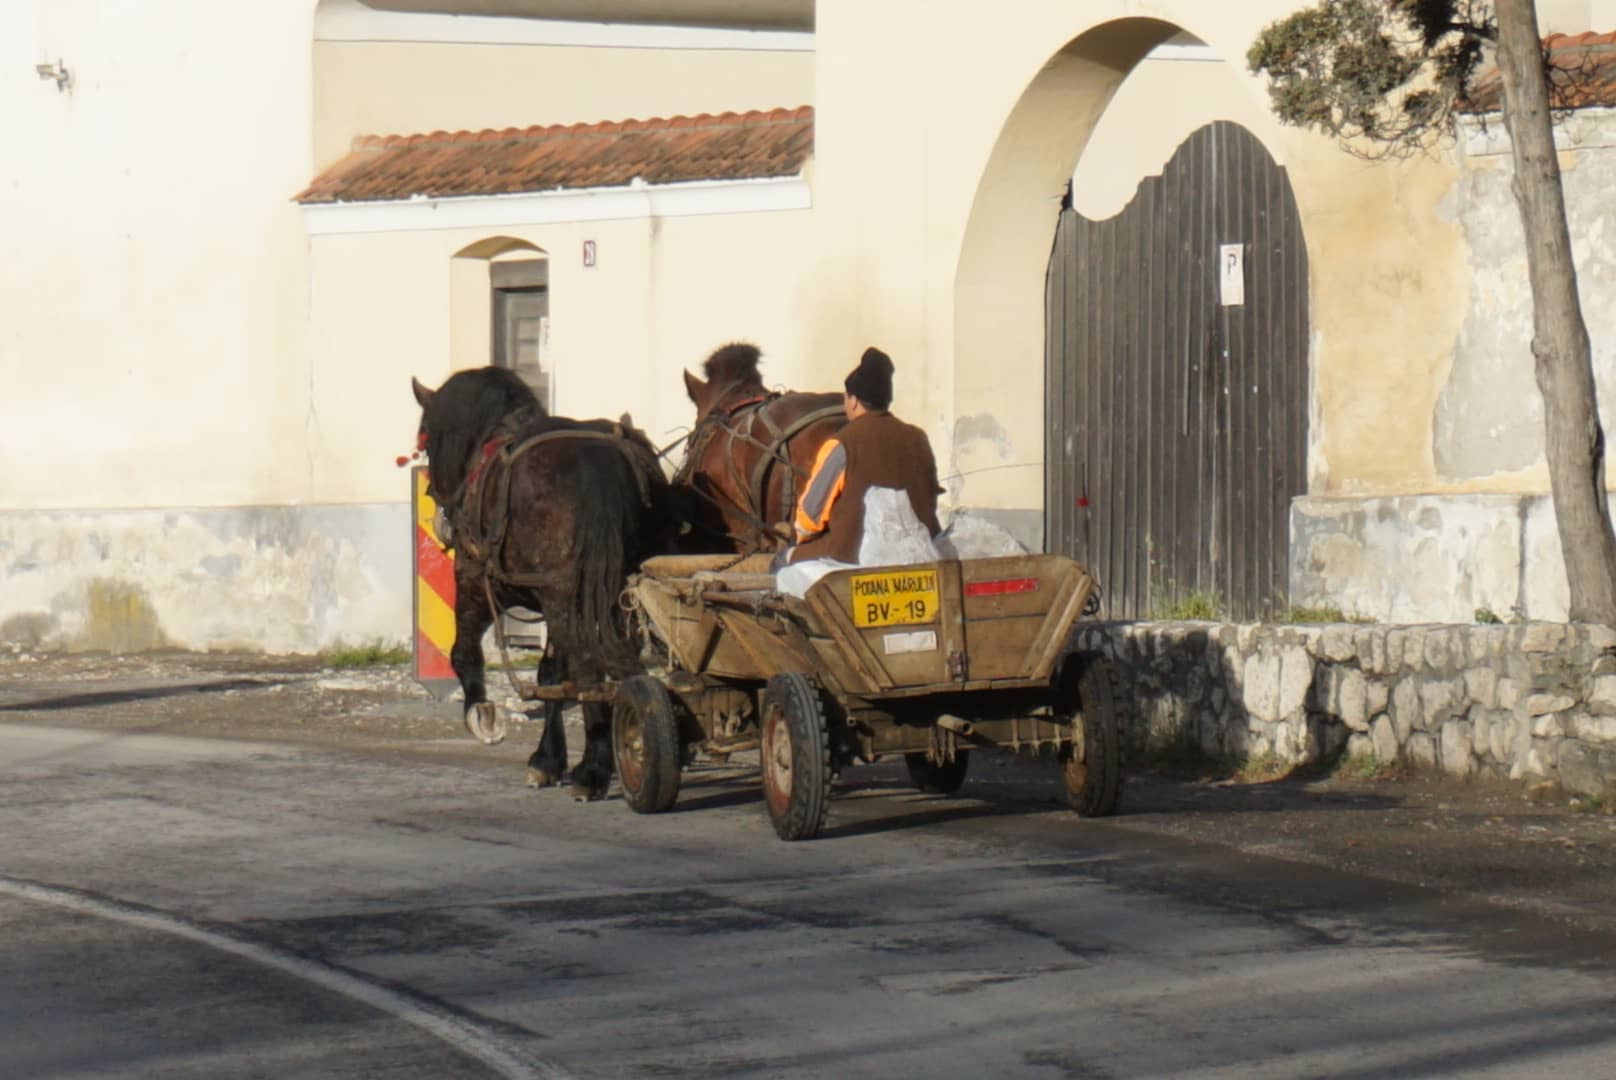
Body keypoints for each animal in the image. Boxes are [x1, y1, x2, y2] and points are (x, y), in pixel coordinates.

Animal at [410, 367, 681, 798]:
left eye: (425, 439)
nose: (436, 502)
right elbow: (551, 674)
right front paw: (548, 759)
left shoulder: (475, 581)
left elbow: (464, 652)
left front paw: (482, 714)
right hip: (604, 594)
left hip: (565, 593)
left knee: (591, 668)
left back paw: (594, 768)